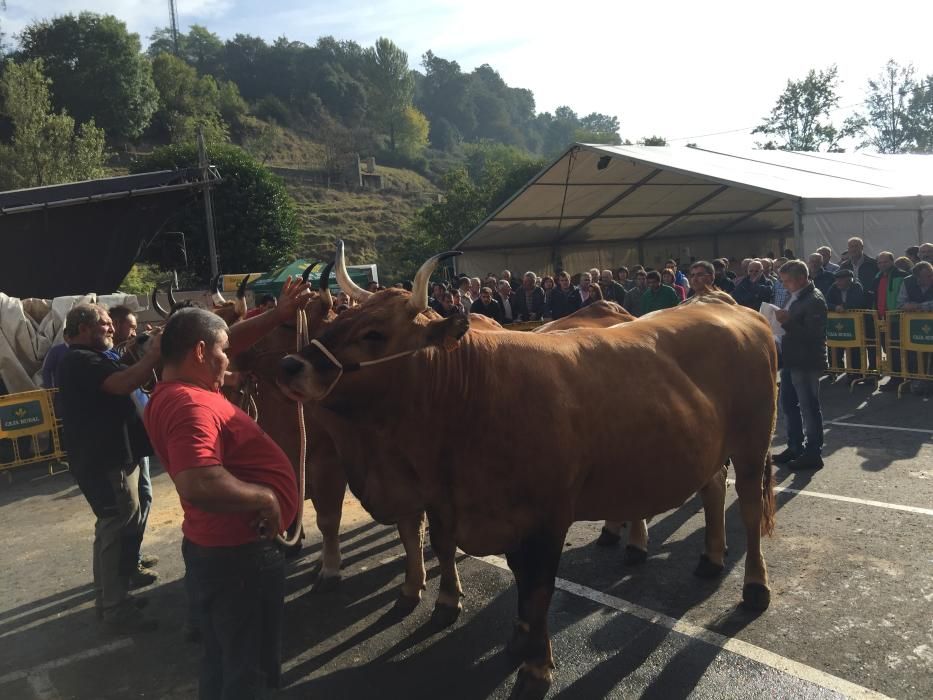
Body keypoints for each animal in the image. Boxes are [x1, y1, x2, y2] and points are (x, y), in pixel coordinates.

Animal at [278, 246, 780, 696]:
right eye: (336, 322)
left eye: (375, 333)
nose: (289, 364)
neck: (471, 396)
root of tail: (722, 303)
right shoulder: (478, 511)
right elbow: (513, 576)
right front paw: (519, 638)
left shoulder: (546, 518)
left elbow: (538, 589)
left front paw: (536, 666)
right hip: (709, 447)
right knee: (713, 489)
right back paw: (710, 558)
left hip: (753, 443)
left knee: (750, 509)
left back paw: (755, 586)